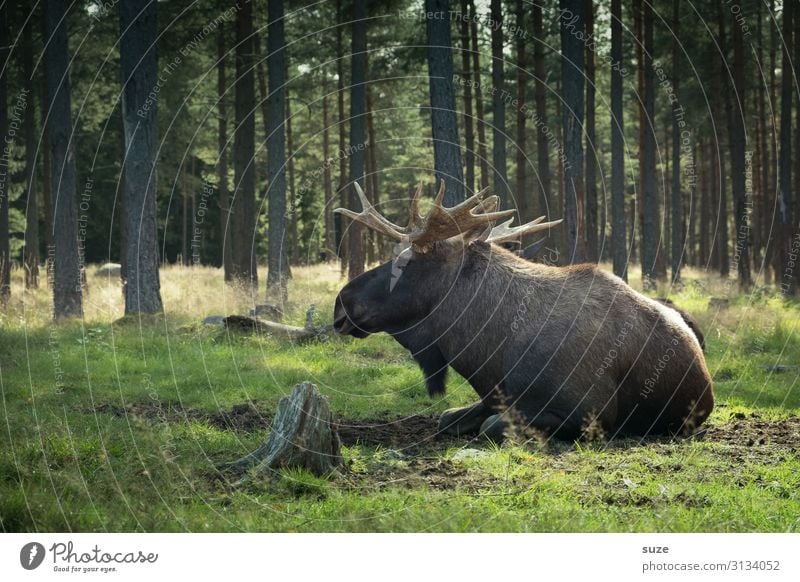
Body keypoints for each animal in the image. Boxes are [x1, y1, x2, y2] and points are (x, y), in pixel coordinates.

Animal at [332, 185, 712, 440]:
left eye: (404, 261)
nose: (341, 303)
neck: (489, 352)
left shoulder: (590, 412)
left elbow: (491, 427)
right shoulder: (494, 396)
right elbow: (447, 418)